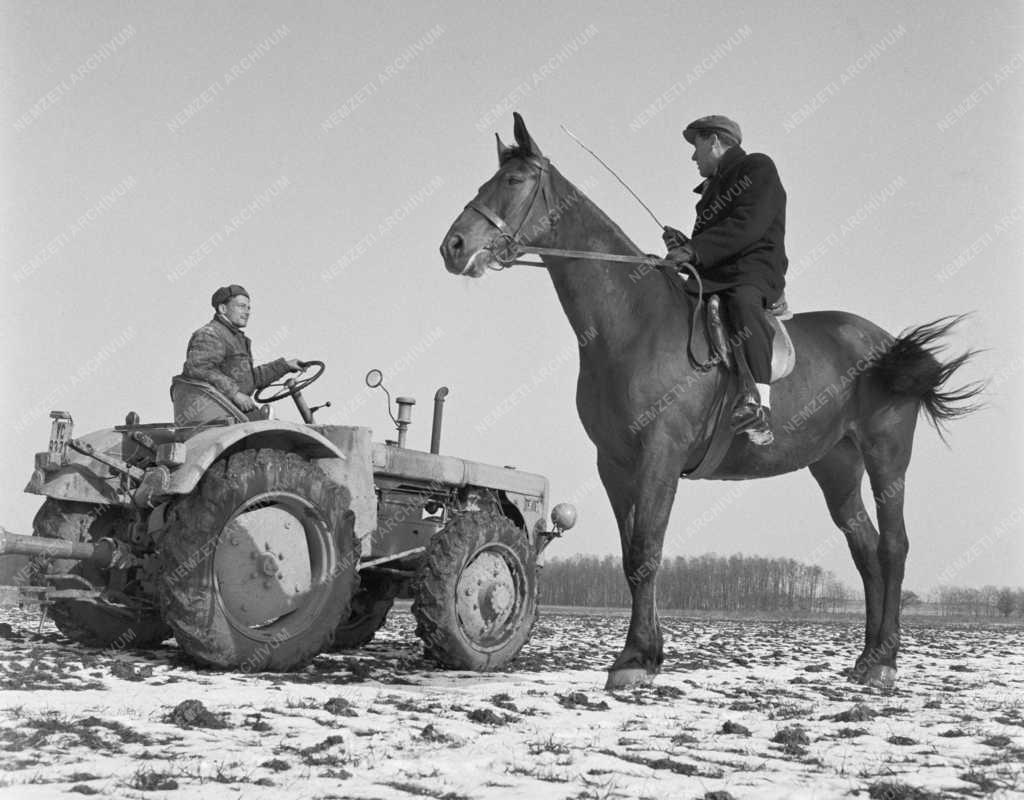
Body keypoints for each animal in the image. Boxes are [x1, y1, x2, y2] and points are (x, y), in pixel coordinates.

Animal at [440, 113, 983, 692]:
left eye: (514, 181)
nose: (453, 246)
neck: (632, 320)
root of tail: (888, 343)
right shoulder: (614, 464)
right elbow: (632, 554)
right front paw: (650, 653)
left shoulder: (661, 454)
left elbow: (647, 550)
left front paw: (633, 659)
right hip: (836, 466)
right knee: (865, 552)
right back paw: (866, 657)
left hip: (886, 455)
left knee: (892, 547)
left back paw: (885, 661)